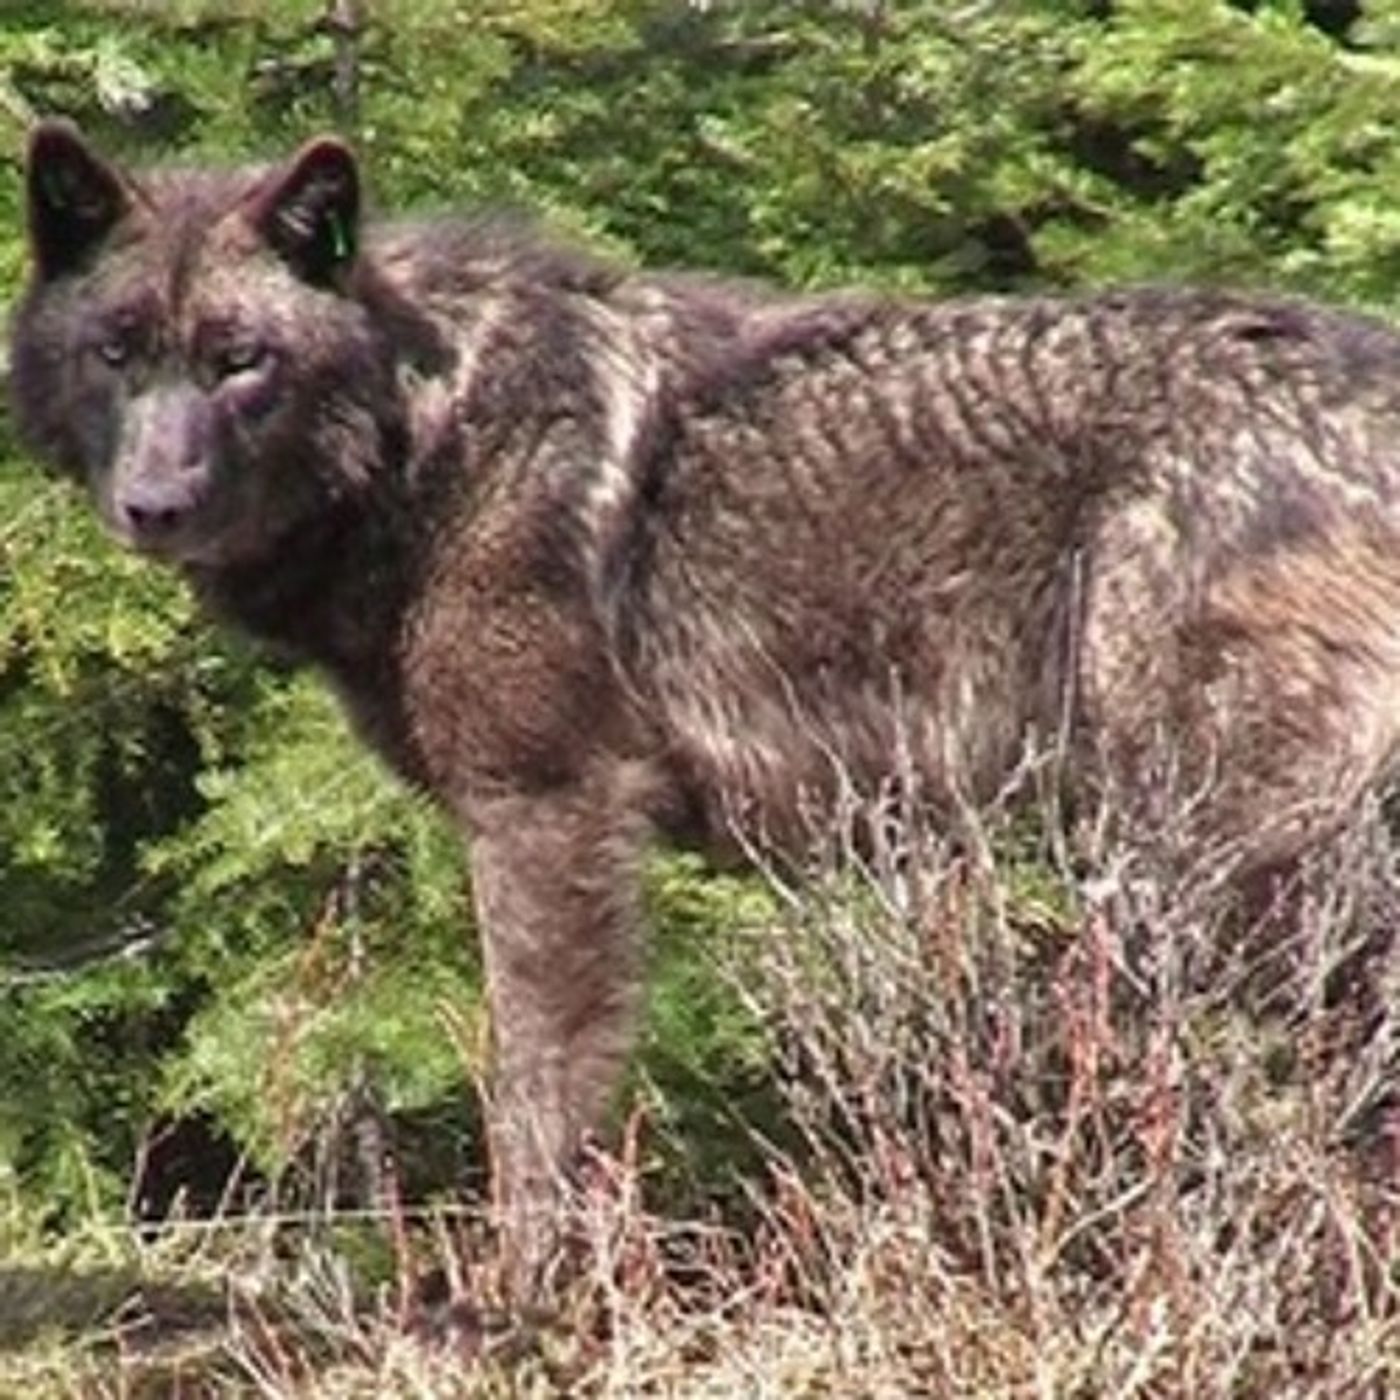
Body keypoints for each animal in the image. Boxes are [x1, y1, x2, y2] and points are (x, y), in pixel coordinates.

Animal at [13, 122, 1400, 1274]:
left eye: (241, 362)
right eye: (116, 352)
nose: (152, 505)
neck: (430, 434)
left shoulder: (544, 811)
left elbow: (533, 1106)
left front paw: (522, 1307)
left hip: (1214, 872)